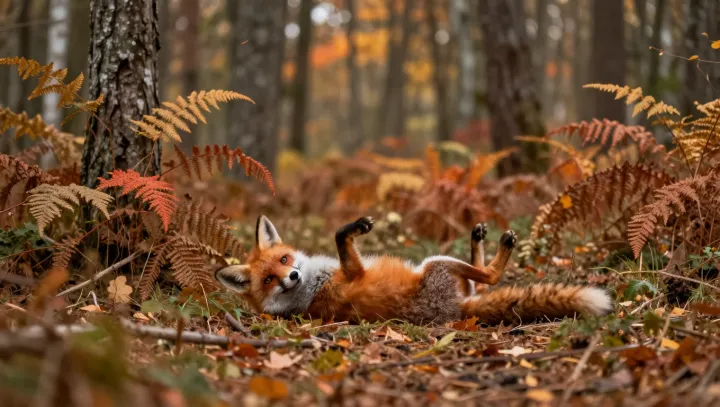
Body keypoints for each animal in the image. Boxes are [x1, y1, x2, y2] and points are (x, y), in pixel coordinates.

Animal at [215, 215, 613, 325]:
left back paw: (477, 238)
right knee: (490, 277)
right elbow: (340, 236)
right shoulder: (354, 273)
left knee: (479, 277)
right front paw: (355, 227)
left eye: (283, 261)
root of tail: (457, 311)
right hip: (435, 263)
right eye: (269, 281)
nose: (292, 277)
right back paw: (502, 248)